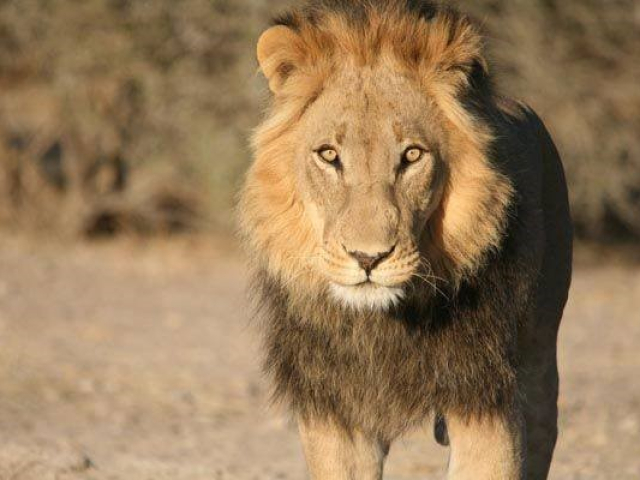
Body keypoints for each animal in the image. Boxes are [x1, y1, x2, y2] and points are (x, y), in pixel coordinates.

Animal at [239, 1, 568, 478]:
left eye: (412, 155)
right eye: (328, 155)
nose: (368, 258)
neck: (384, 325)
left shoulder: (486, 399)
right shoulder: (337, 410)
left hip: (540, 355)